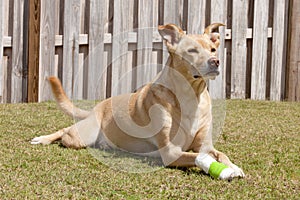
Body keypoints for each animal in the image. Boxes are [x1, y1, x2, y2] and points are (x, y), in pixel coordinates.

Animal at [32, 23, 244, 180]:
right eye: (192, 50)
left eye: (213, 49)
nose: (215, 61)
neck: (191, 95)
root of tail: (98, 107)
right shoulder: (171, 152)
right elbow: (199, 156)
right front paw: (224, 170)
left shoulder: (205, 145)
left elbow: (219, 154)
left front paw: (234, 167)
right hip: (81, 136)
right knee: (64, 131)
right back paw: (42, 139)